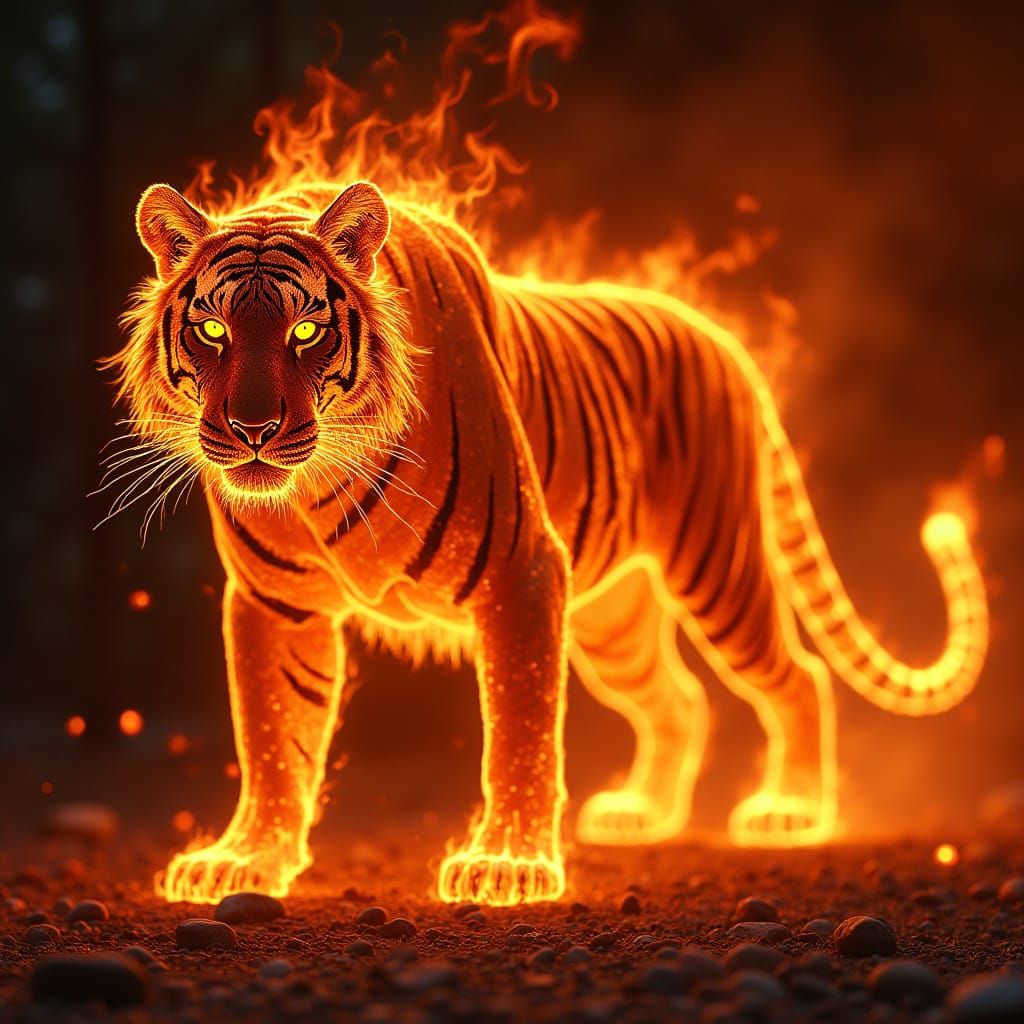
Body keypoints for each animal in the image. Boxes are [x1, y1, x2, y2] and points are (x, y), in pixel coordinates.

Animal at [109, 179, 988, 907]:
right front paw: (245, 861)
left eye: (306, 330)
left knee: (796, 676)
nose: (252, 429)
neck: (319, 482)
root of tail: (723, 338)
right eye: (213, 329)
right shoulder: (276, 604)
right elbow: (272, 737)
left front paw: (507, 865)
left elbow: (521, 727)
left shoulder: (520, 570)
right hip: (615, 623)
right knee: (680, 698)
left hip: (719, 570)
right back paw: (642, 812)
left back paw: (792, 810)